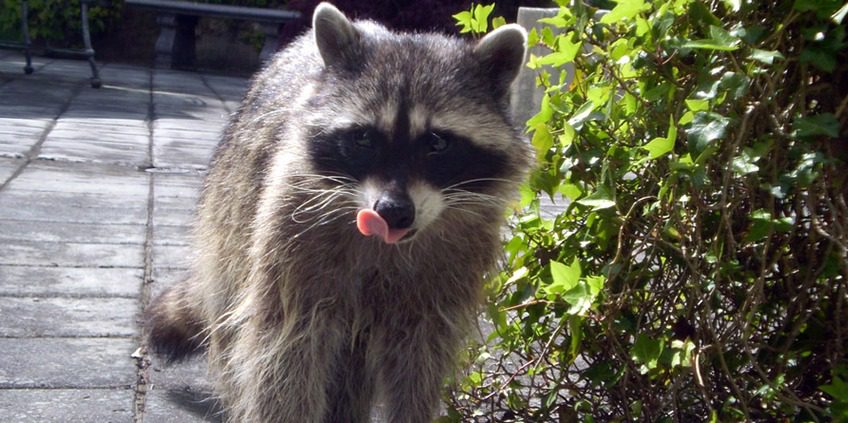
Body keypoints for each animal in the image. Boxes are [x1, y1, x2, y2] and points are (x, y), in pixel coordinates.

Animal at [146, 3, 528, 423]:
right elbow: (285, 350)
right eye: (363, 138)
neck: (385, 243)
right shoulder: (291, 239)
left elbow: (419, 364)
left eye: (438, 143)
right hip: (231, 218)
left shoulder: (446, 275)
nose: (393, 212)